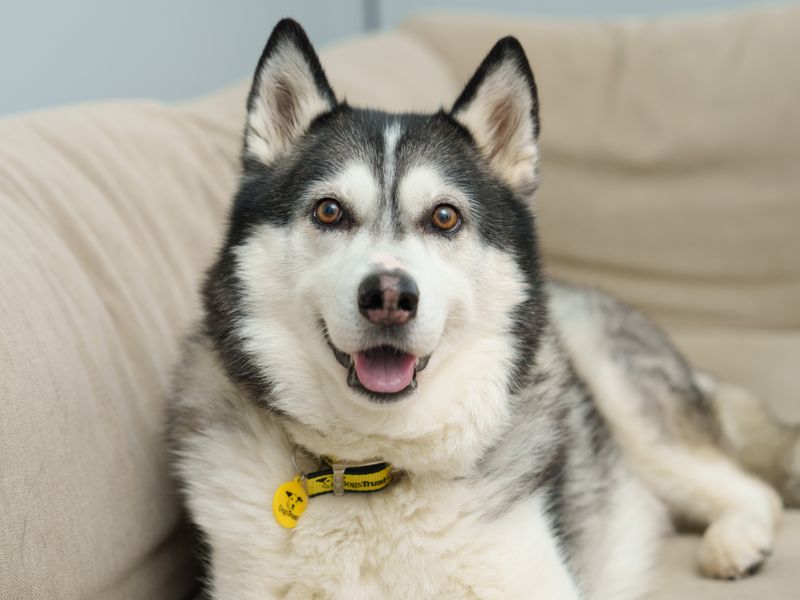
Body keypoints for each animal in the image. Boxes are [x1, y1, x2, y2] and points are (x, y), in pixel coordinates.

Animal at [166, 18, 796, 600]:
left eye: (445, 217)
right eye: (328, 211)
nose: (389, 296)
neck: (375, 463)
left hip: (622, 393)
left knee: (752, 488)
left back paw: (735, 541)